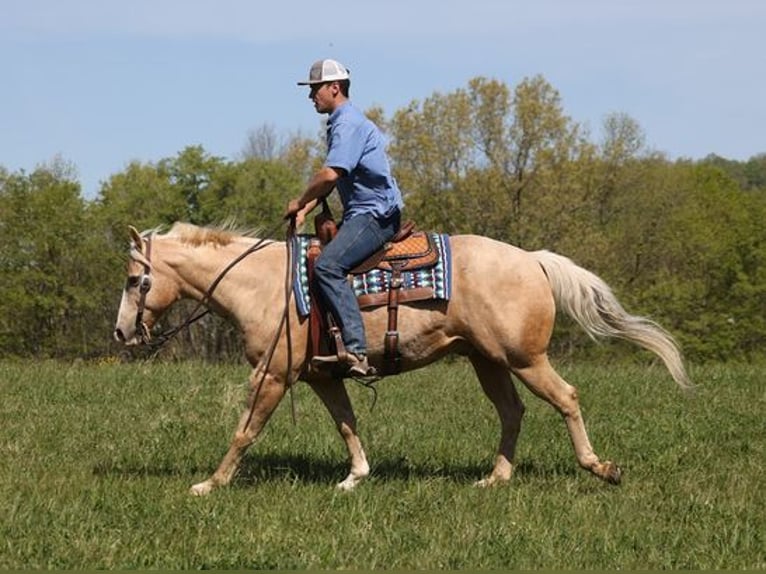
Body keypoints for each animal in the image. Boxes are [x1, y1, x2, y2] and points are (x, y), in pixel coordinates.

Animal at [115, 224, 696, 496]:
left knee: (566, 398)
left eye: (134, 280)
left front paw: (210, 484)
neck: (262, 285)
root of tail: (532, 260)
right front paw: (356, 477)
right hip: (488, 361)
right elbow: (346, 423)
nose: (122, 332)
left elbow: (245, 430)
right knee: (512, 412)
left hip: (525, 357)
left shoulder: (273, 374)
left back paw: (601, 468)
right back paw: (496, 478)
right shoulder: (322, 375)